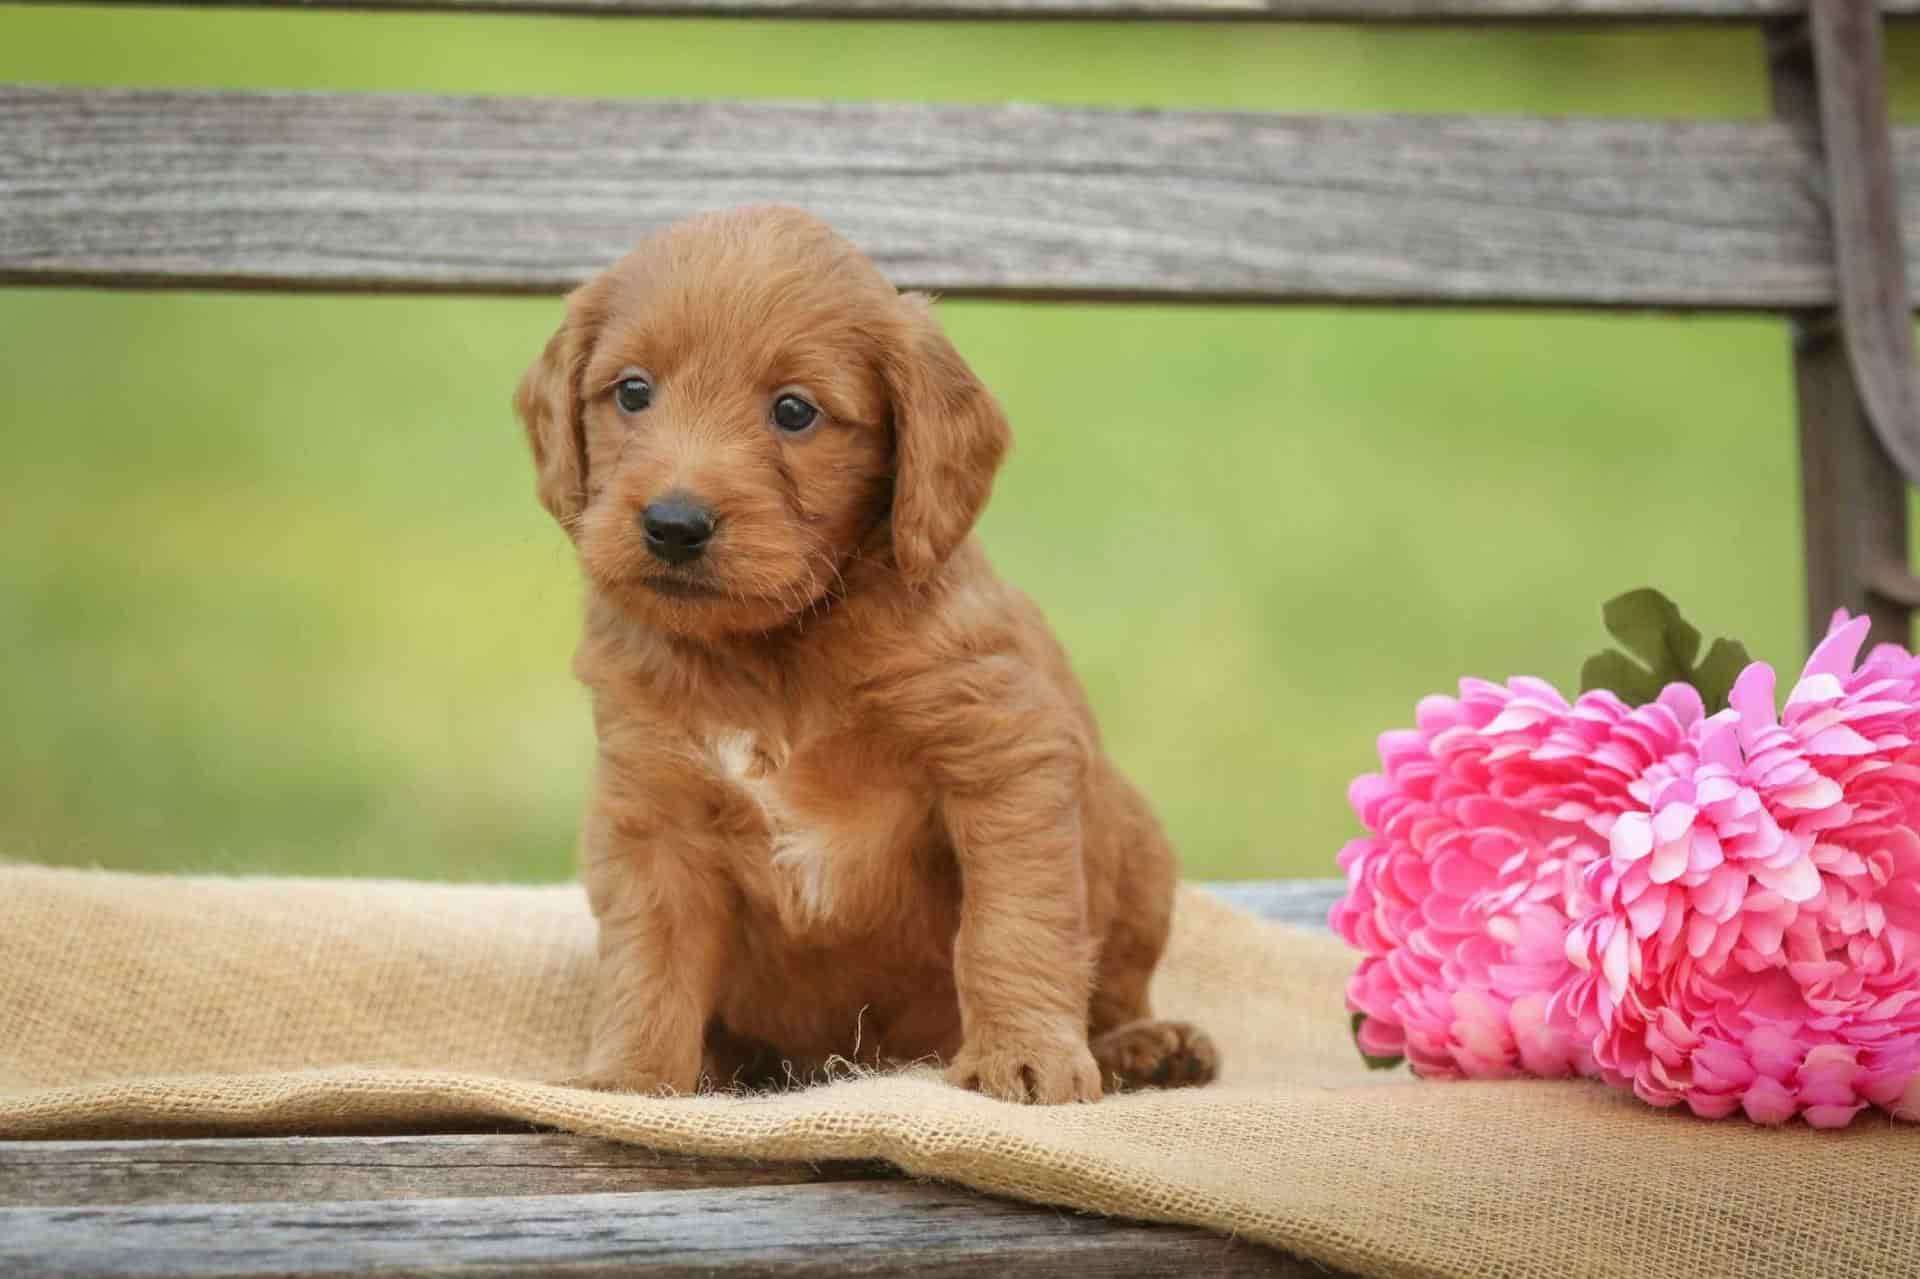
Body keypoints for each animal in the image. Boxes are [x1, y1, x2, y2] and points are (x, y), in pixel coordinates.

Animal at [514, 206, 1213, 1098]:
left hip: (1141, 848)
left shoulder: (1003, 759)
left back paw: (1146, 1047)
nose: (673, 524)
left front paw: (1021, 1054)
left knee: (1117, 984)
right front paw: (632, 1080)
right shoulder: (650, 807)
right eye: (633, 391)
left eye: (795, 410)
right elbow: (649, 958)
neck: (776, 652)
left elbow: (1013, 926)